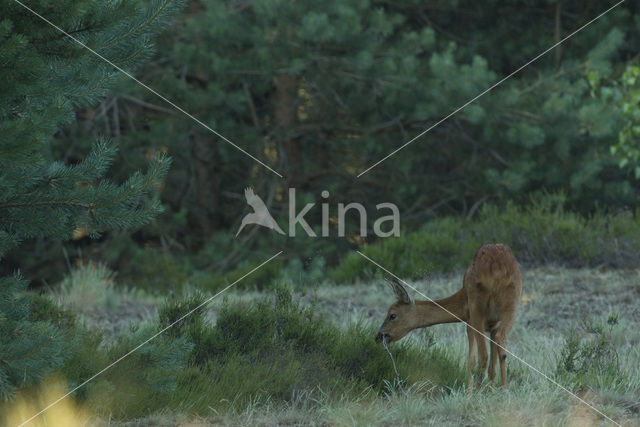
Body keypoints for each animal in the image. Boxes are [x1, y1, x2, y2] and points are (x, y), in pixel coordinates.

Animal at [378, 242, 524, 392]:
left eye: (392, 315)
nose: (379, 335)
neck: (461, 303)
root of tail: (497, 268)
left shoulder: (469, 322)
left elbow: (470, 361)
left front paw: (470, 393)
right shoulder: (493, 326)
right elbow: (492, 368)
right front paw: (491, 390)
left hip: (477, 308)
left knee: (483, 355)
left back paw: (479, 392)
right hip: (512, 305)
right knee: (501, 345)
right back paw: (505, 390)